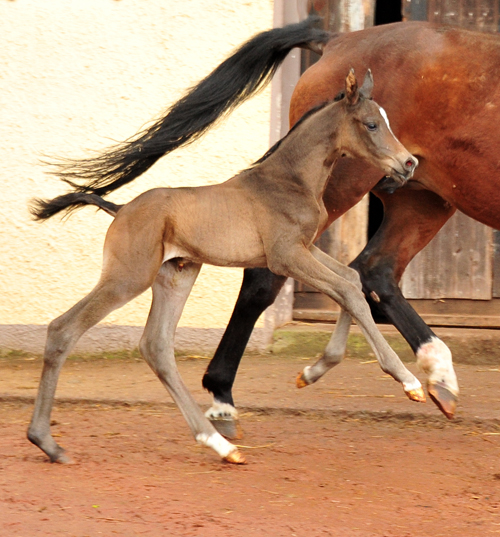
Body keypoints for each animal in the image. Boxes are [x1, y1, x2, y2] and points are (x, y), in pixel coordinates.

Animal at [48, 15, 500, 428]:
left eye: (386, 122)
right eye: (372, 123)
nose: (407, 163)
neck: (286, 179)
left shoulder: (305, 247)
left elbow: (349, 281)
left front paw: (325, 367)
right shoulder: (289, 253)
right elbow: (341, 288)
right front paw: (405, 381)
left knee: (371, 270)